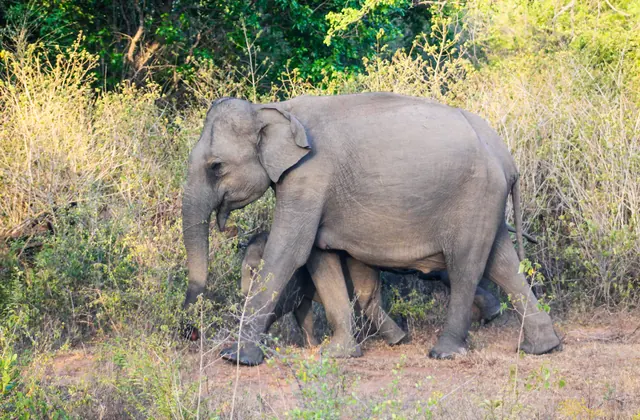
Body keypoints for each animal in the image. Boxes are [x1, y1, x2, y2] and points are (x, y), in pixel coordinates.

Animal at [240, 231, 407, 355]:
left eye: (253, 270)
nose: (242, 293)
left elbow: (283, 305)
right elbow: (302, 309)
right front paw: (313, 346)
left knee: (366, 303)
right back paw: (397, 338)